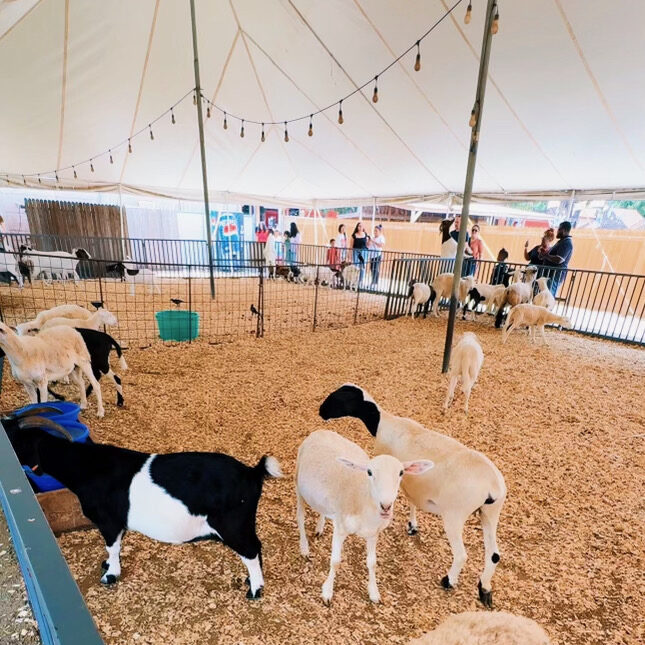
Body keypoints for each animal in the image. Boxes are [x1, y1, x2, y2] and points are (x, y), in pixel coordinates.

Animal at [4, 412, 282, 600]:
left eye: (14, 439)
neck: (89, 467)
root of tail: (252, 473)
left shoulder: (108, 521)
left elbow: (112, 547)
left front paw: (110, 575)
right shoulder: (118, 524)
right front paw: (108, 566)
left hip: (233, 526)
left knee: (251, 549)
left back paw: (255, 590)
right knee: (256, 547)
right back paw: (250, 580)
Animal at [296, 428, 432, 604]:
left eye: (401, 472)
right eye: (369, 472)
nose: (386, 506)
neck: (363, 500)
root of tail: (319, 431)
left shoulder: (373, 533)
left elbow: (372, 563)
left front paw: (374, 592)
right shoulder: (341, 528)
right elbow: (335, 561)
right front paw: (327, 592)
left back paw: (319, 527)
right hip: (299, 485)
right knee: (300, 517)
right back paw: (304, 548)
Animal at [320, 384, 506, 608]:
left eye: (340, 399)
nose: (321, 411)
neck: (381, 422)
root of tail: (492, 486)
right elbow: (411, 500)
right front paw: (412, 526)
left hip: (455, 514)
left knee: (461, 555)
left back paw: (448, 581)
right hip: (490, 512)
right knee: (494, 555)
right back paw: (484, 589)